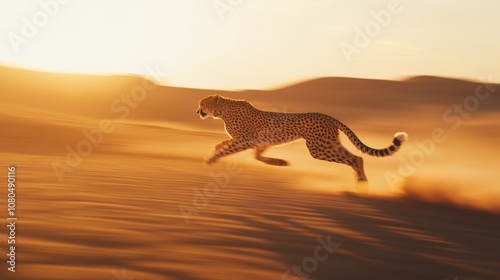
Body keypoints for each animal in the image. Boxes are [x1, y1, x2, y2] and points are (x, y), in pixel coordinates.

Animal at [195, 94, 406, 182]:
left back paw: (361, 182)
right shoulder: (258, 142)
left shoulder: (248, 140)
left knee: (354, 158)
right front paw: (280, 162)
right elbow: (245, 151)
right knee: (357, 157)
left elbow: (230, 148)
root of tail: (329, 116)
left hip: (318, 149)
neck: (223, 111)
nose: (197, 111)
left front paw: (211, 159)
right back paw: (361, 182)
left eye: (202, 104)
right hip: (328, 144)